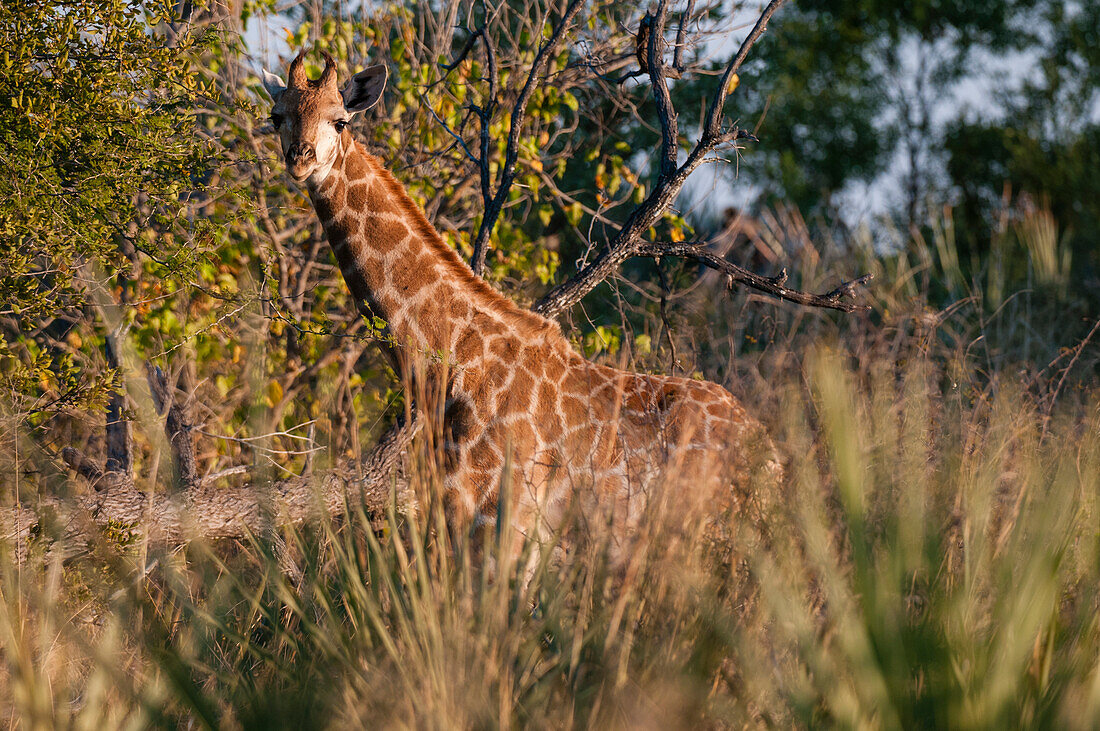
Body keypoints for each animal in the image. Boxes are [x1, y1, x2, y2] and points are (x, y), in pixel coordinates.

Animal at [264, 52, 783, 547]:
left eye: (340, 121)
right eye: (276, 116)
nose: (299, 159)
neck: (449, 372)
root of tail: (772, 458)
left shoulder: (500, 518)